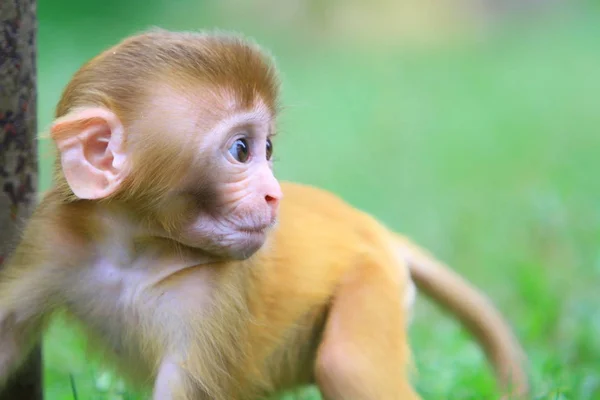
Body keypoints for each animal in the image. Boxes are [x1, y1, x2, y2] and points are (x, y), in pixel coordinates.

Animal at [0, 29, 524, 398]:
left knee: (346, 364)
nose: (275, 195)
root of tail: (371, 228)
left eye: (266, 149)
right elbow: (8, 335)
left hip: (373, 280)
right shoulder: (51, 238)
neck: (135, 249)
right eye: (241, 150)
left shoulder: (211, 296)